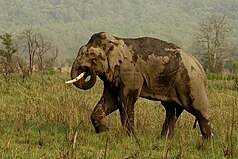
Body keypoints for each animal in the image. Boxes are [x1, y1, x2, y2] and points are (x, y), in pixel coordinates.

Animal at [66, 31, 213, 139]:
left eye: (90, 54)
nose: (86, 68)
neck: (116, 40)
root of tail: (201, 68)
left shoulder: (130, 73)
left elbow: (125, 100)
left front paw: (131, 138)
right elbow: (110, 100)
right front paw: (104, 132)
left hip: (191, 82)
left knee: (197, 108)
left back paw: (207, 142)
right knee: (172, 109)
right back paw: (163, 139)